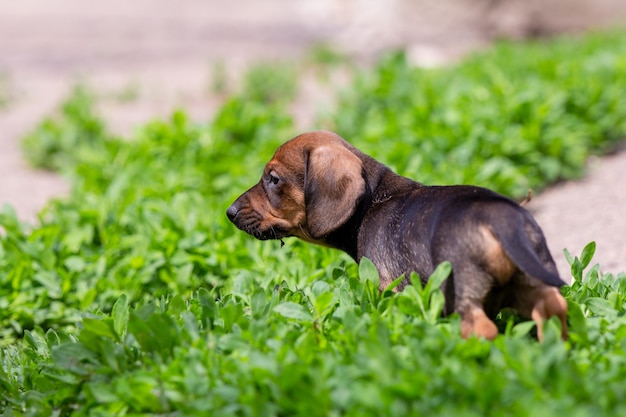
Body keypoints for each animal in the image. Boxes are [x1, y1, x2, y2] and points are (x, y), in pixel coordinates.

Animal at [225, 130, 564, 338]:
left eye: (273, 179)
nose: (229, 212)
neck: (372, 200)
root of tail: (502, 221)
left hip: (466, 293)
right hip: (537, 285)